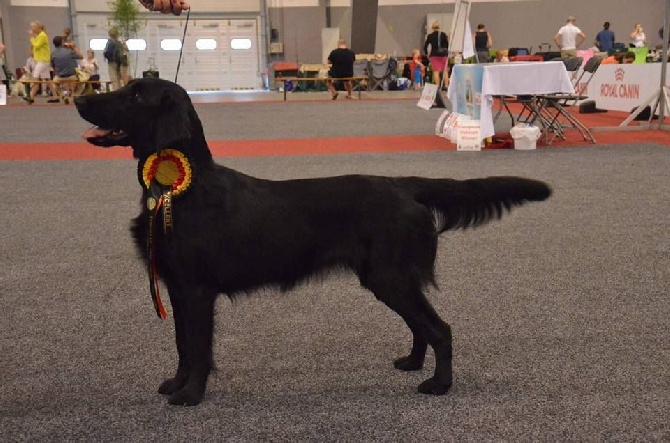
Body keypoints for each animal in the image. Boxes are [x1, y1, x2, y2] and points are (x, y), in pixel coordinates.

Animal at [76, 79, 552, 406]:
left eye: (136, 96)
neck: (180, 189)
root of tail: (402, 184)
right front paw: (176, 384)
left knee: (440, 328)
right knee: (422, 325)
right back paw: (413, 362)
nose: (80, 100)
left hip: (390, 277)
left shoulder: (197, 290)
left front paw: (190, 394)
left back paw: (438, 384)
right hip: (386, 279)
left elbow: (197, 346)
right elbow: (180, 344)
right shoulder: (176, 285)